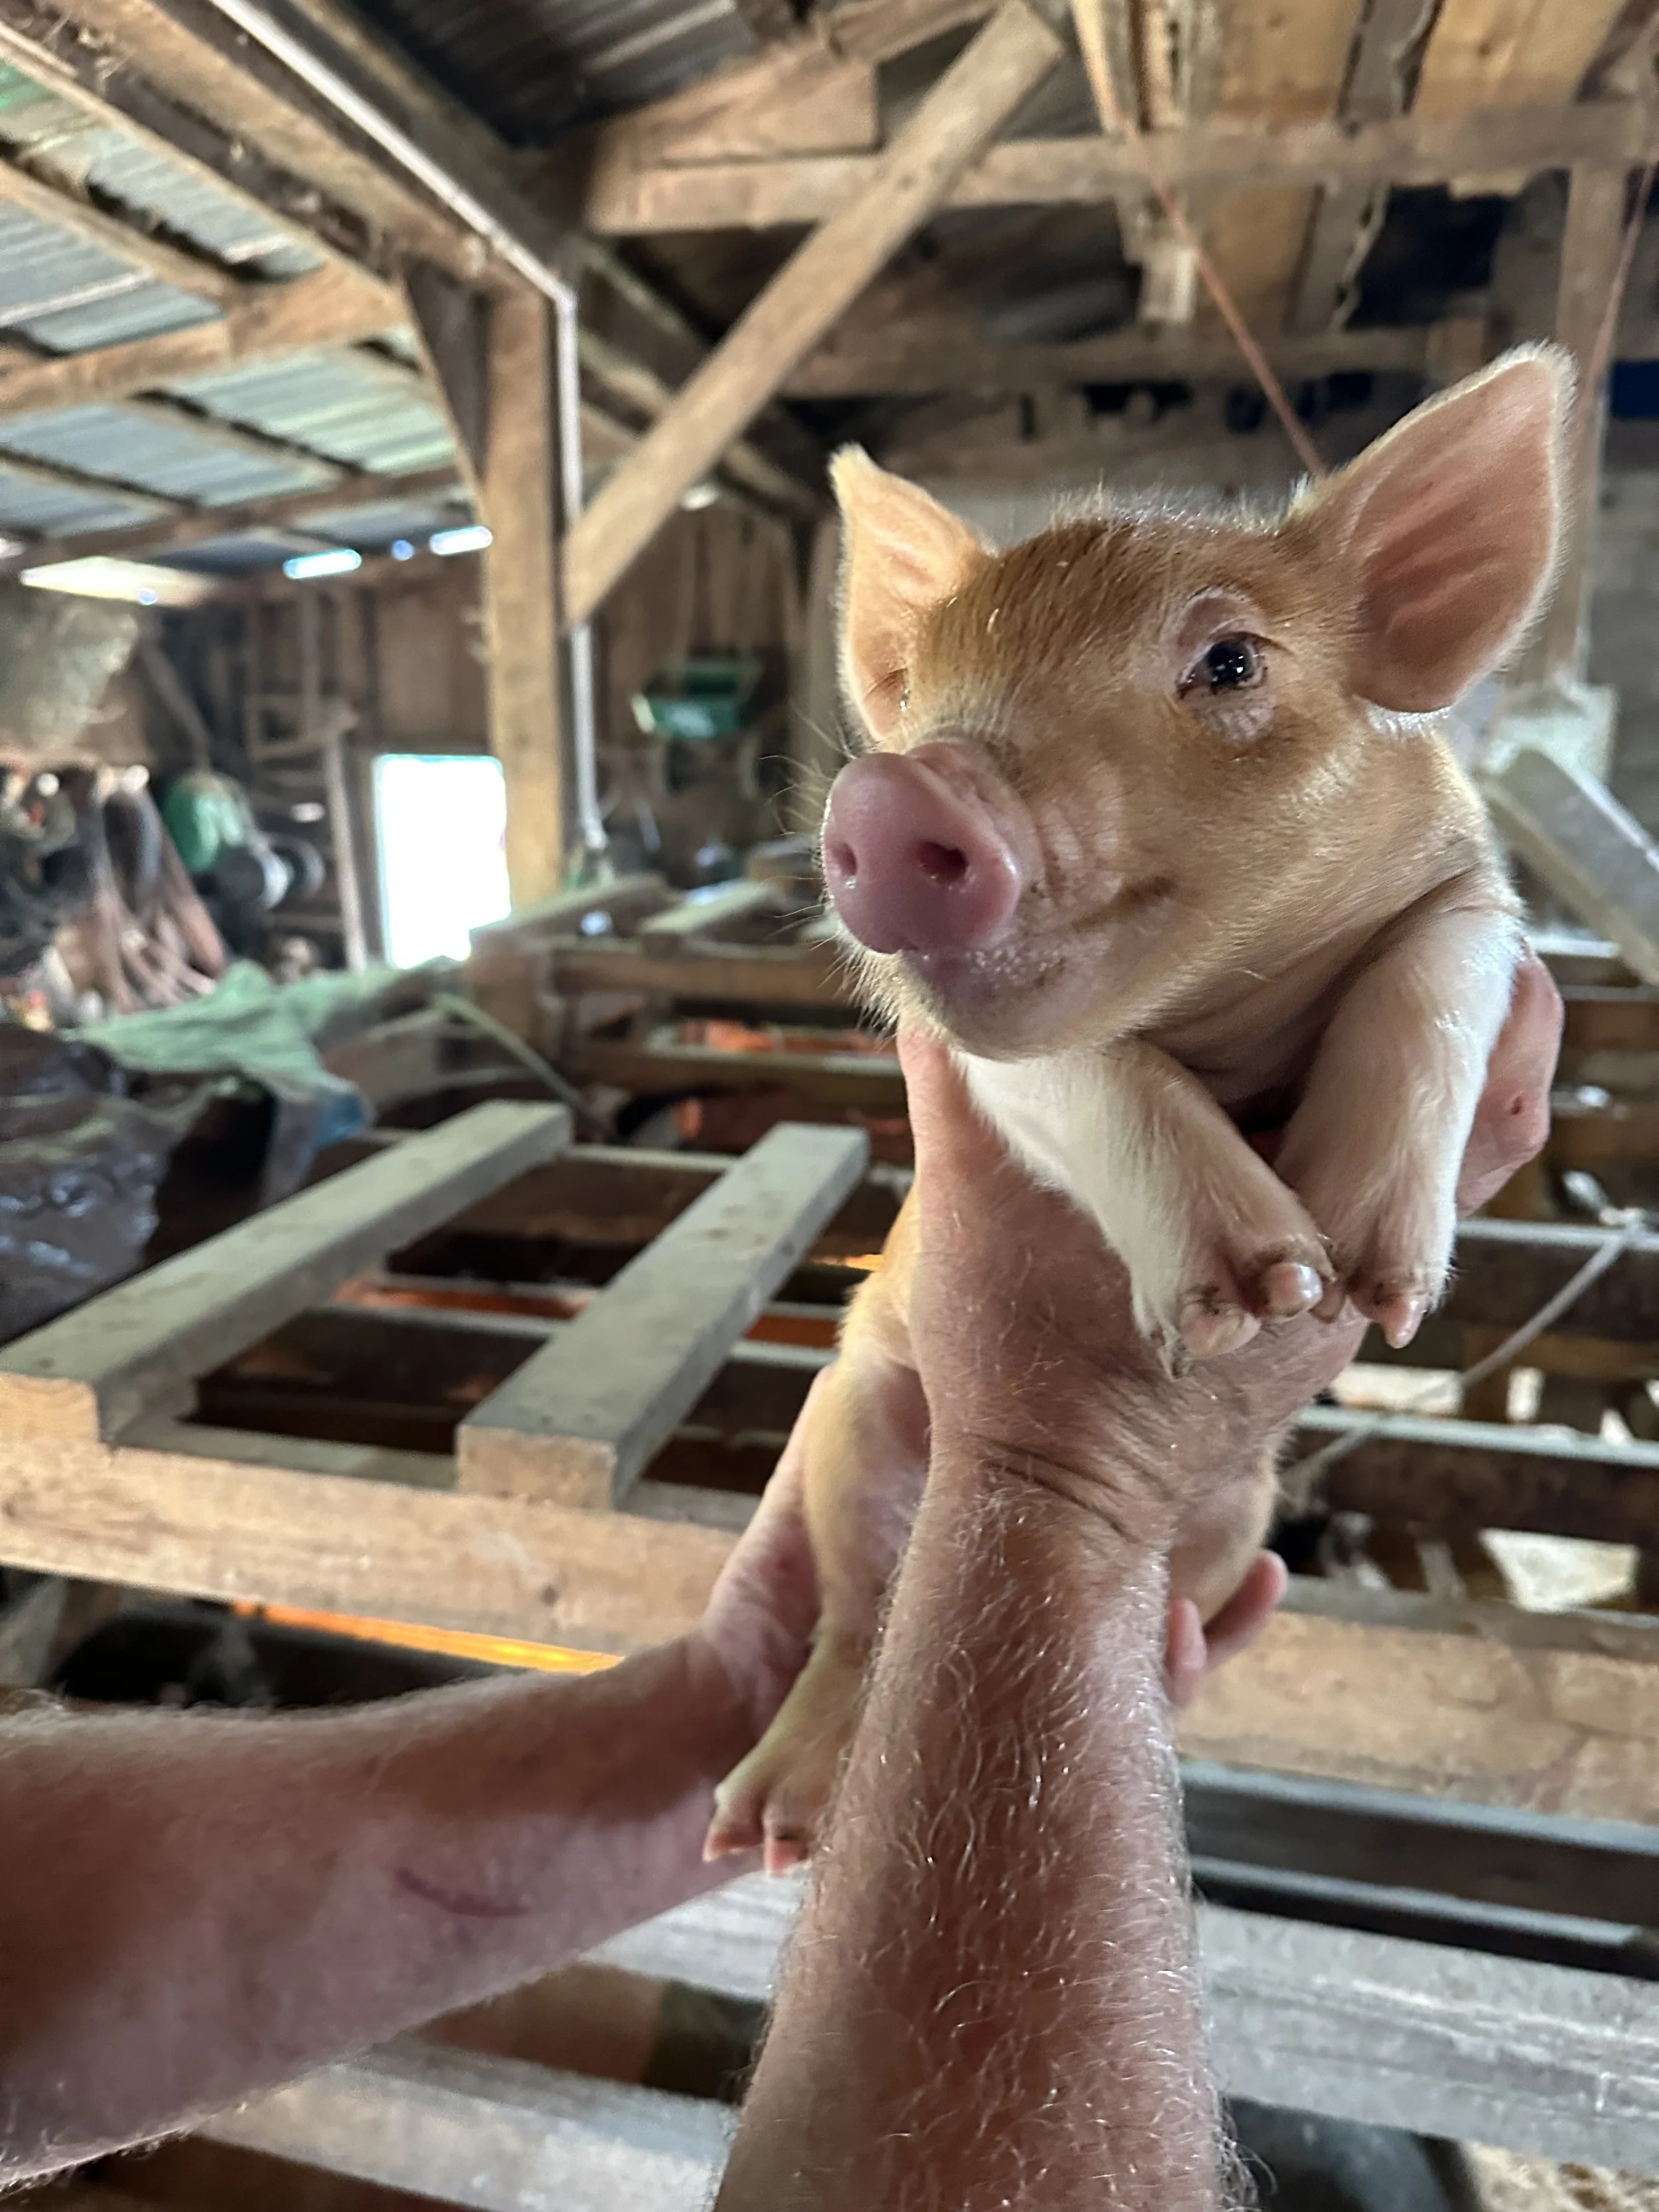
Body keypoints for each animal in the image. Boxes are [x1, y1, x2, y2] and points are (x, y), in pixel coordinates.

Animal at [704, 349, 1563, 1874]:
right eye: (924, 686)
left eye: (1228, 661)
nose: (897, 783)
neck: (1230, 1017)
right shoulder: (976, 1056)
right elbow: (1092, 1070)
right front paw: (1257, 1294)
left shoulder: (1482, 909)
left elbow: (1430, 972)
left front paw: (1363, 1277)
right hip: (850, 1421)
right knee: (857, 1624)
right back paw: (769, 1828)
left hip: (1234, 1517)